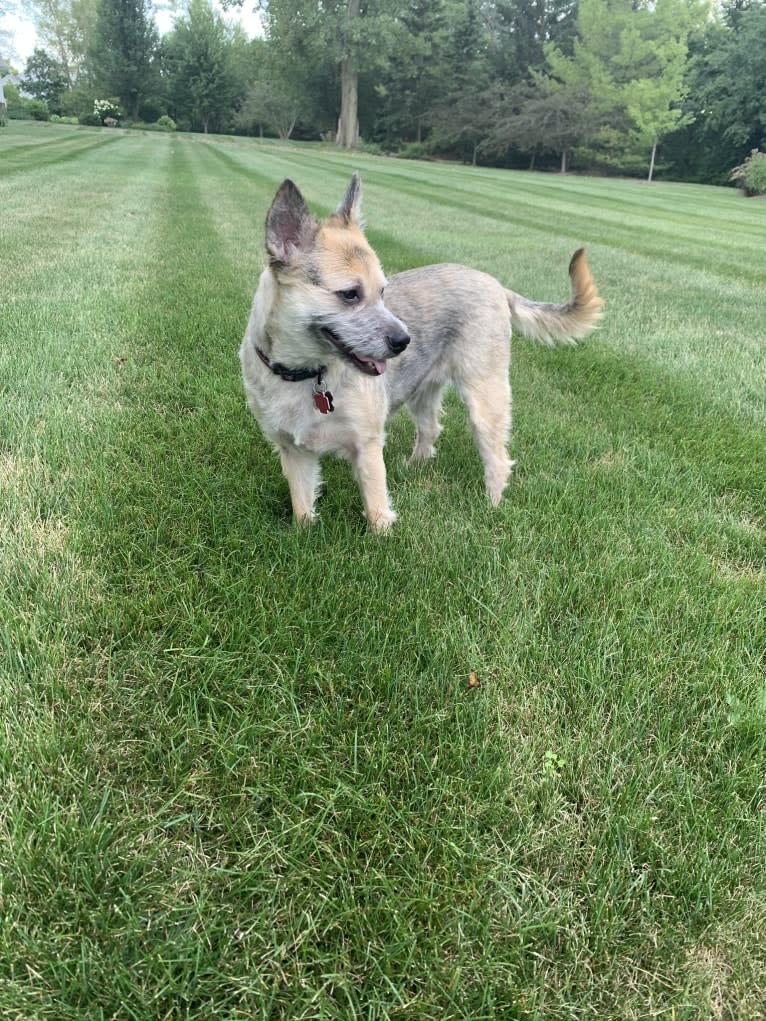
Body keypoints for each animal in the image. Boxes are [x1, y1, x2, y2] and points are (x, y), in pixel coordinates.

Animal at [241, 173, 604, 535]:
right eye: (350, 294)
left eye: (383, 291)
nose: (404, 340)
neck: (306, 373)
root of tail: (495, 284)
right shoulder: (293, 451)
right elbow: (302, 506)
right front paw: (303, 533)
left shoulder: (368, 446)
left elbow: (376, 508)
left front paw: (382, 539)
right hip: (423, 393)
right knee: (430, 429)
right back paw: (415, 466)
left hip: (484, 398)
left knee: (497, 458)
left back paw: (492, 505)